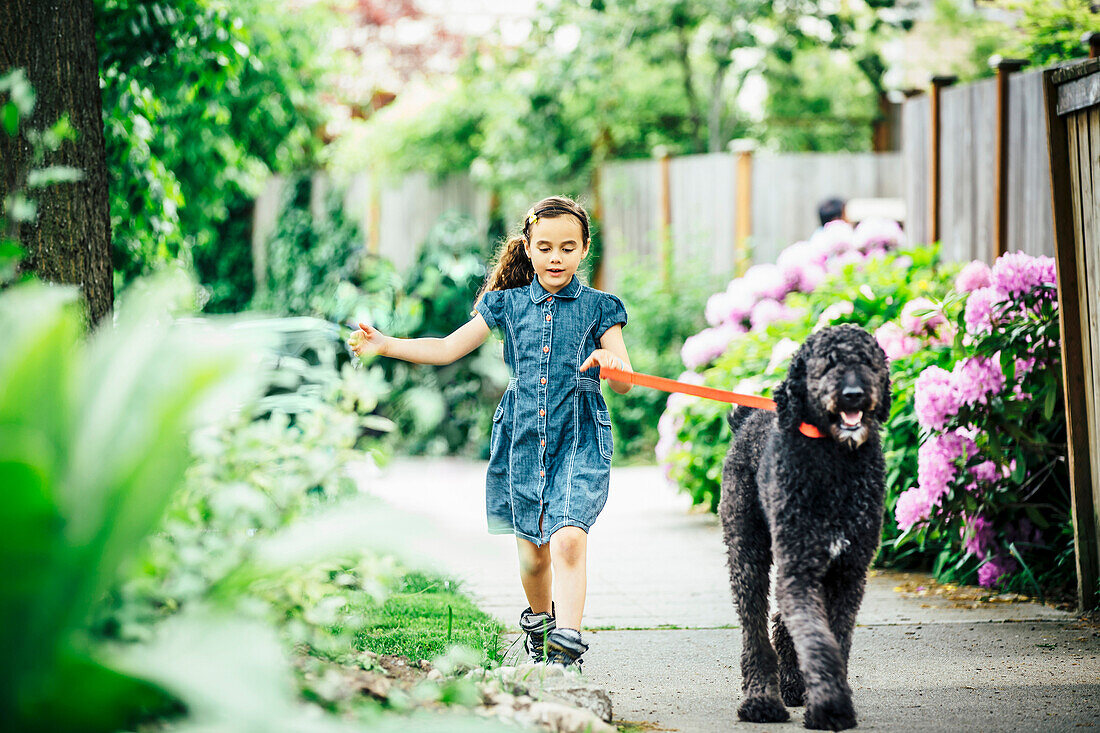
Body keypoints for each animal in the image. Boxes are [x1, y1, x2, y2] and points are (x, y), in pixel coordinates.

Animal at [721, 325, 893, 730]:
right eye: (825, 364)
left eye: (868, 361)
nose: (853, 394)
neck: (836, 462)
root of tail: (747, 419)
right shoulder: (800, 567)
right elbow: (817, 638)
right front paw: (830, 706)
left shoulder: (848, 571)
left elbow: (835, 639)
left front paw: (828, 699)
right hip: (747, 551)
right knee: (754, 626)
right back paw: (761, 701)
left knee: (780, 624)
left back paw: (791, 685)